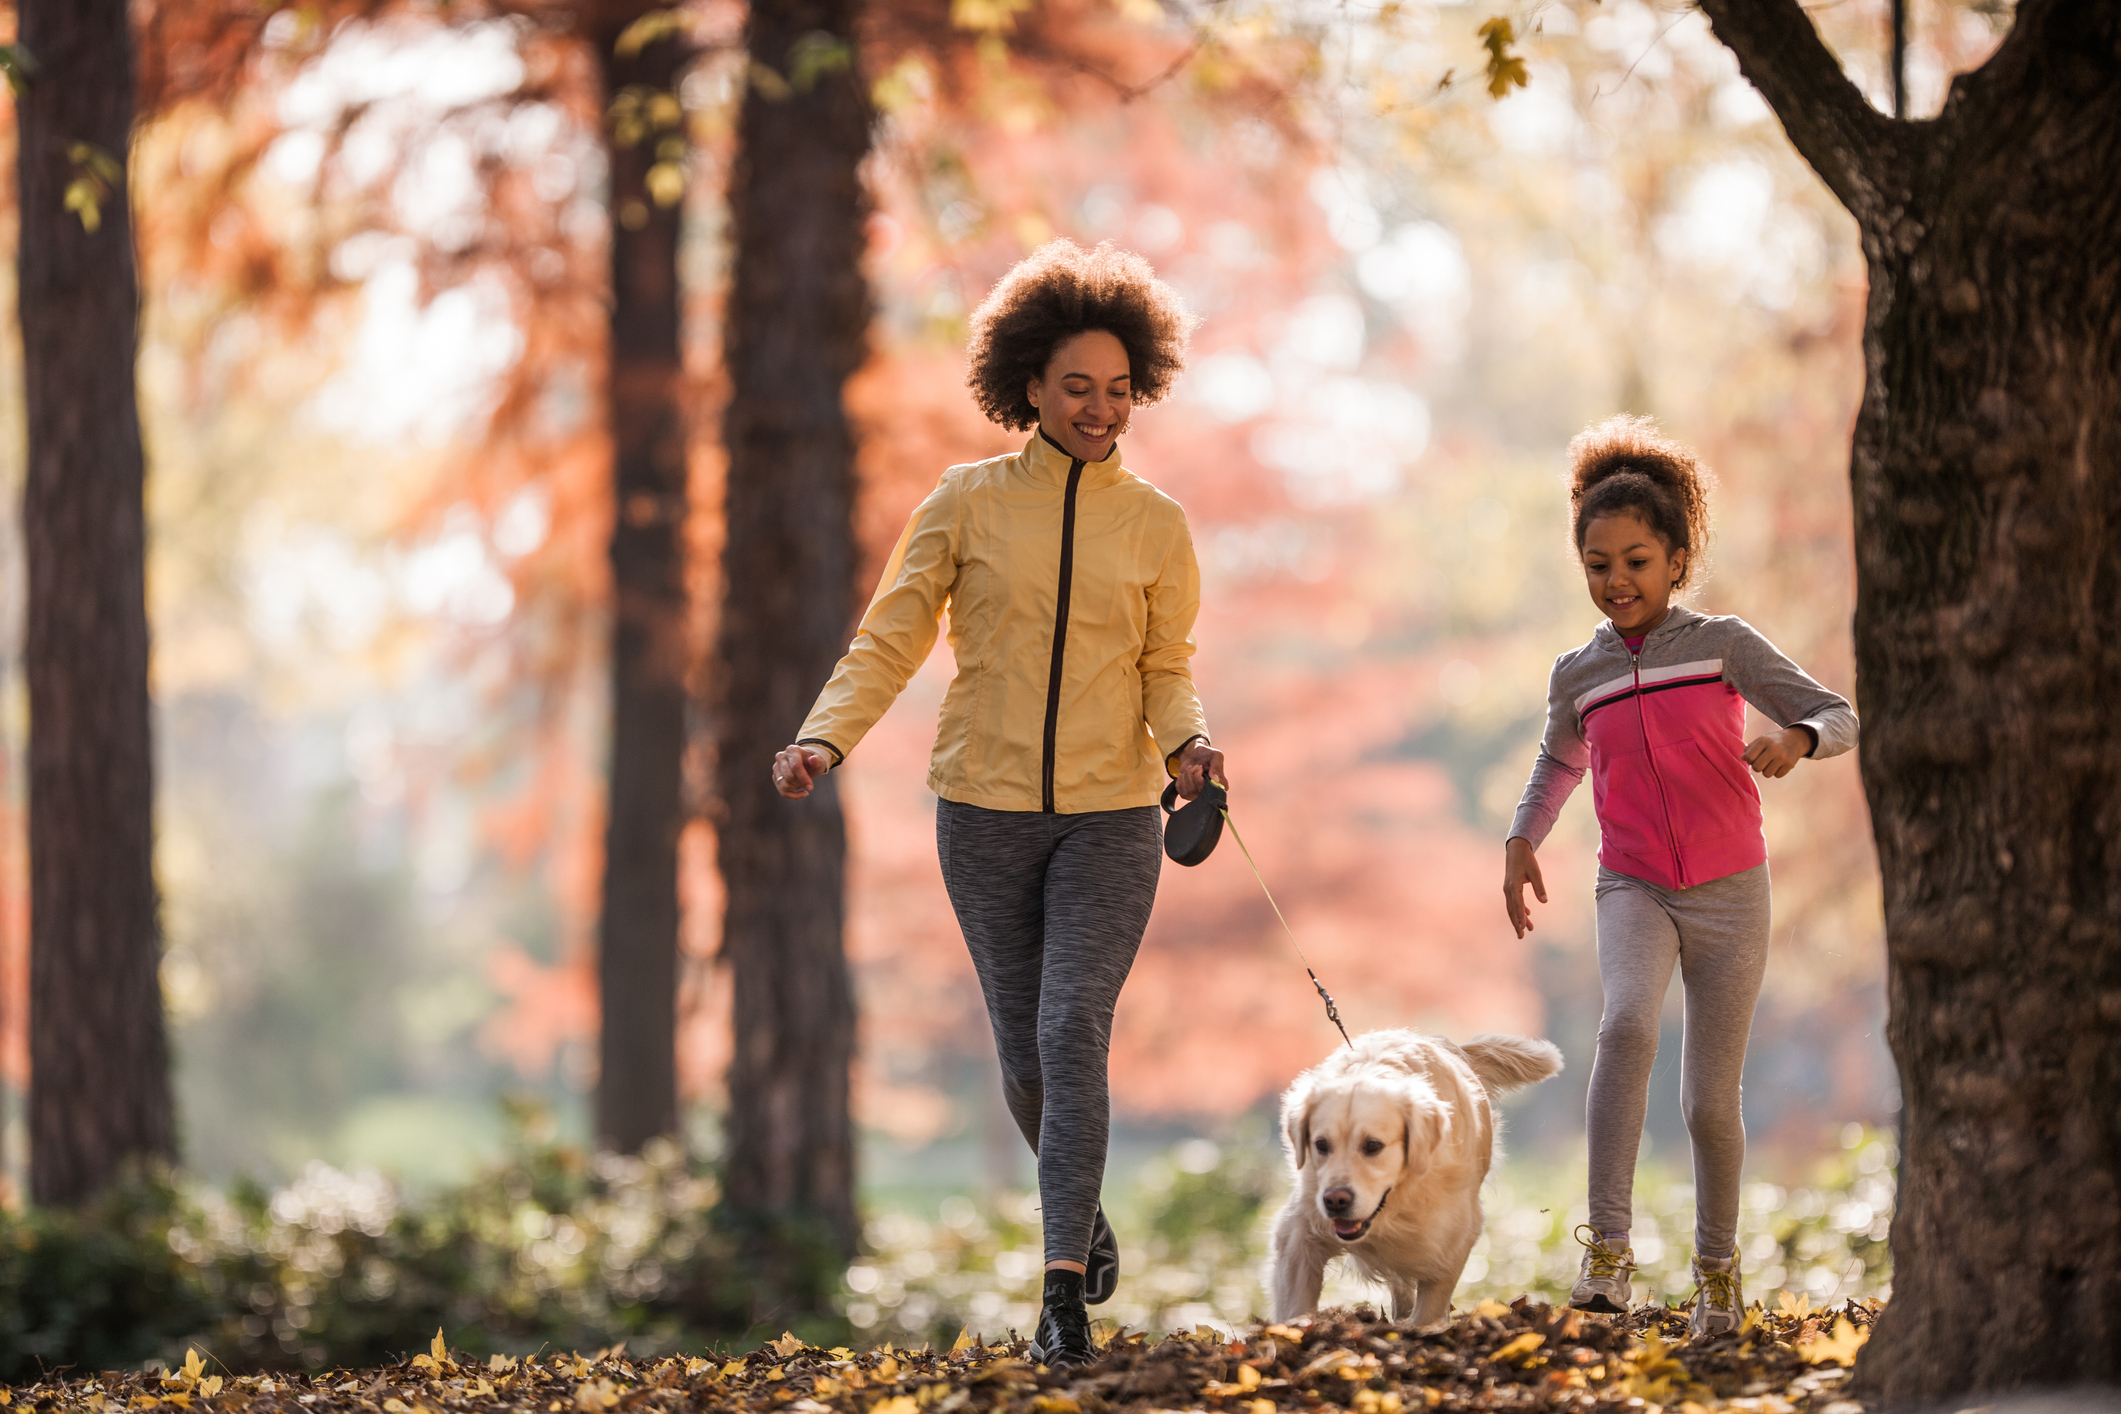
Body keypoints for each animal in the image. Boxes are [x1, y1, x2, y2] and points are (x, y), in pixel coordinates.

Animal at [1264, 1030, 1569, 1331]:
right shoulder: (1299, 1233)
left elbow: (1430, 1307)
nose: (1335, 1200)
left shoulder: (1452, 1237)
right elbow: (1296, 1303)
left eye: (1373, 1145)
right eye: (1321, 1145)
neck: (1397, 1203)